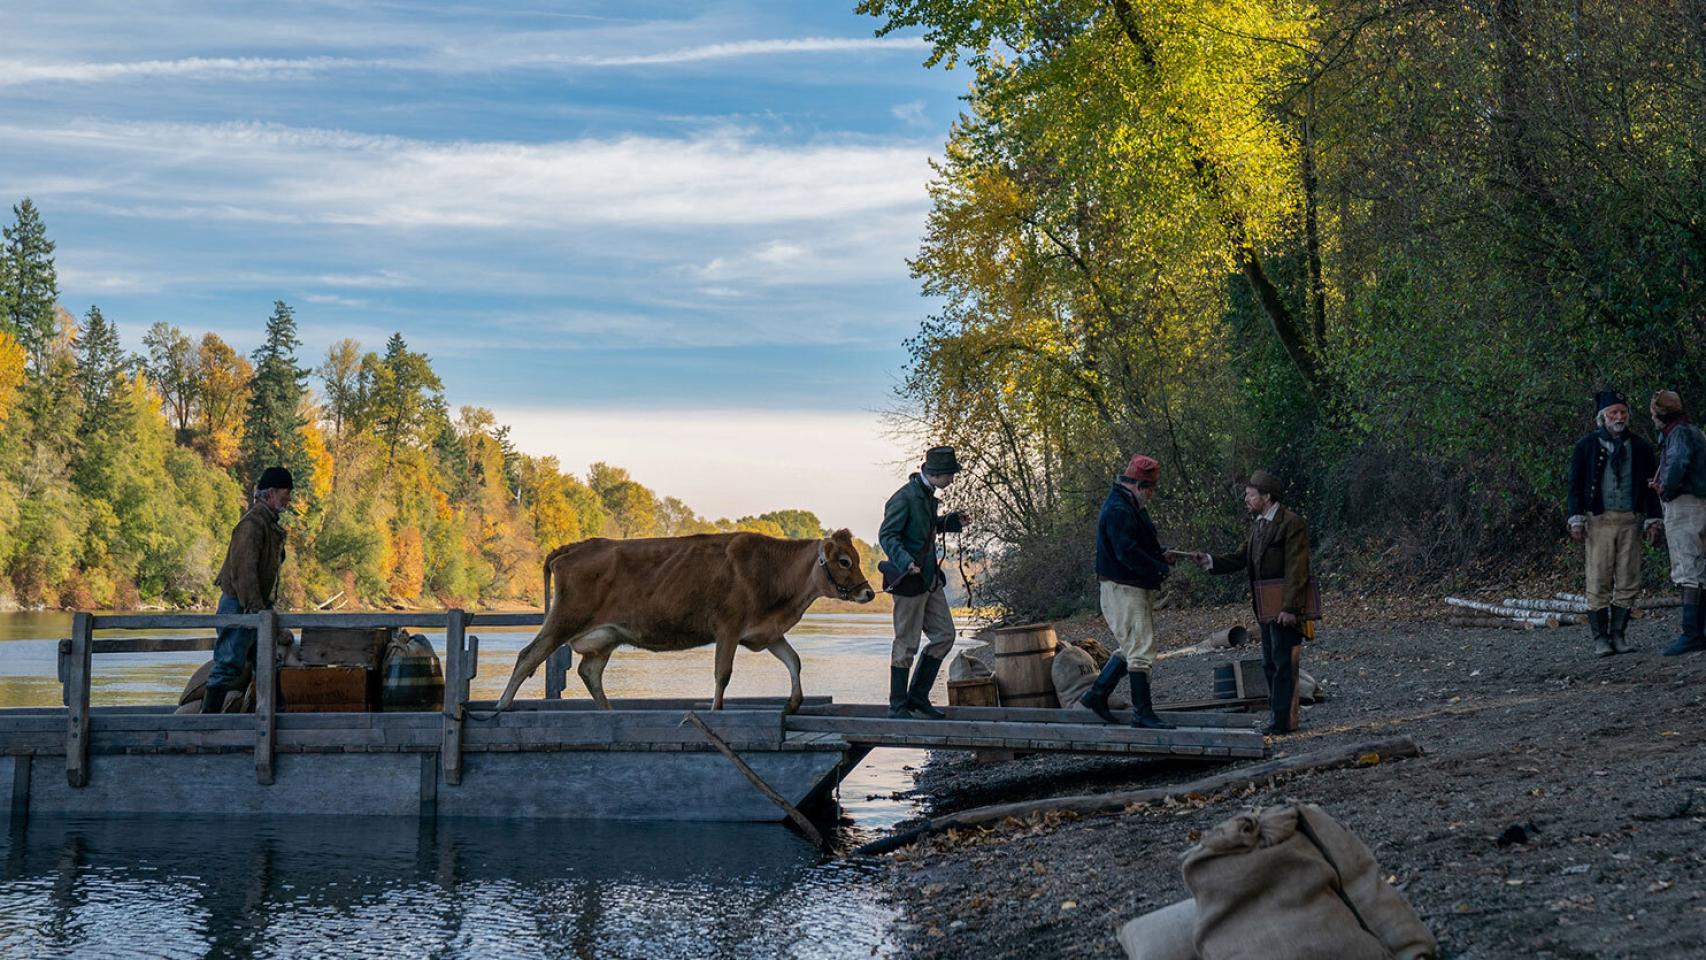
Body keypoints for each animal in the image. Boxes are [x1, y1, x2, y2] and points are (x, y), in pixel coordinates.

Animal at [495, 528, 875, 713]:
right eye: (844, 561)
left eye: (855, 558)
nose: (869, 592)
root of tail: (574, 547)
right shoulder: (728, 627)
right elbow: (723, 673)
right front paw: (715, 709)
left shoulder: (765, 632)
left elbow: (794, 661)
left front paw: (794, 703)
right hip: (565, 618)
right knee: (528, 655)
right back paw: (502, 706)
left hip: (604, 637)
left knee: (589, 672)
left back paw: (608, 711)